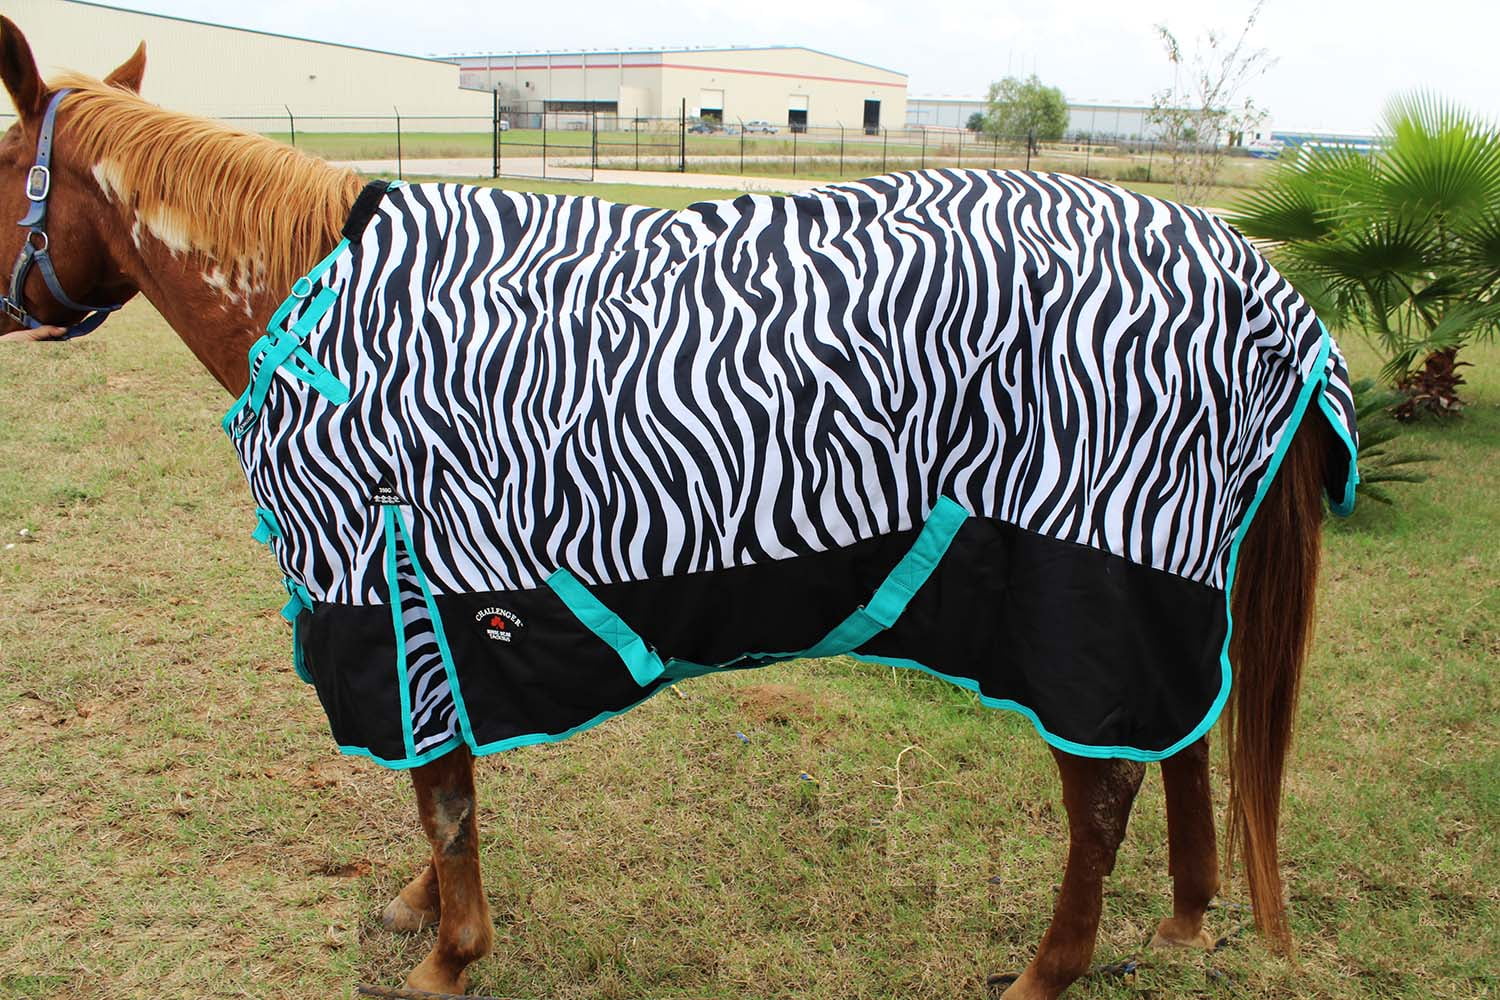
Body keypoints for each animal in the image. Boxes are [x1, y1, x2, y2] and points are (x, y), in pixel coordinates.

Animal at [0, 19, 1355, 999]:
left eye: (1, 166)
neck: (316, 311)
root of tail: (1256, 280)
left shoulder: (396, 593)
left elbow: (443, 793)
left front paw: (448, 953)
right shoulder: (434, 610)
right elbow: (445, 787)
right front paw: (419, 909)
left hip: (1088, 592)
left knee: (1103, 793)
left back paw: (1048, 973)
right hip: (1160, 588)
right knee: (1180, 740)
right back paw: (1182, 922)